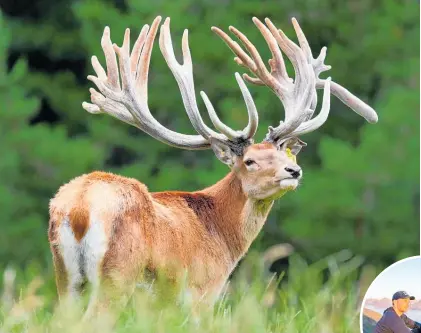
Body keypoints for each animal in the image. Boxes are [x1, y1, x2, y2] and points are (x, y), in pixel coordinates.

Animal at [46, 14, 378, 312]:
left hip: (67, 279)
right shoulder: (201, 291)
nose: (293, 171)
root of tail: (79, 208)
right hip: (118, 275)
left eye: (284, 155)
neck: (220, 233)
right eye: (250, 161)